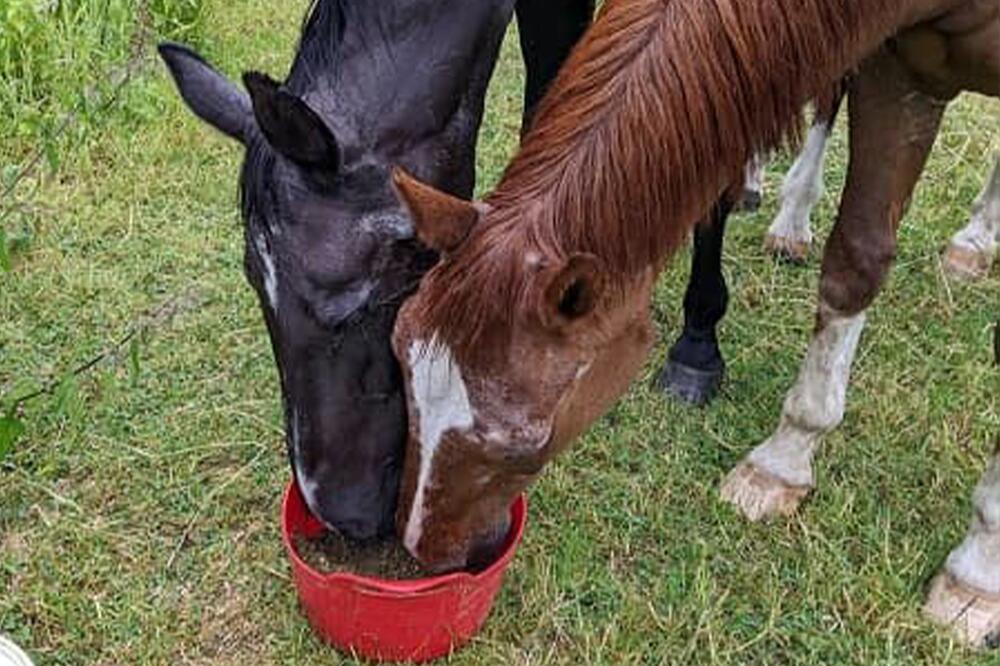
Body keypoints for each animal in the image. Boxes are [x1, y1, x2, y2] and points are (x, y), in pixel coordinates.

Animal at [390, 0, 1000, 644]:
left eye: (523, 446)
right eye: (400, 365)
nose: (424, 553)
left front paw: (975, 575)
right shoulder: (900, 68)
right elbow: (856, 261)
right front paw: (782, 463)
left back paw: (970, 239)